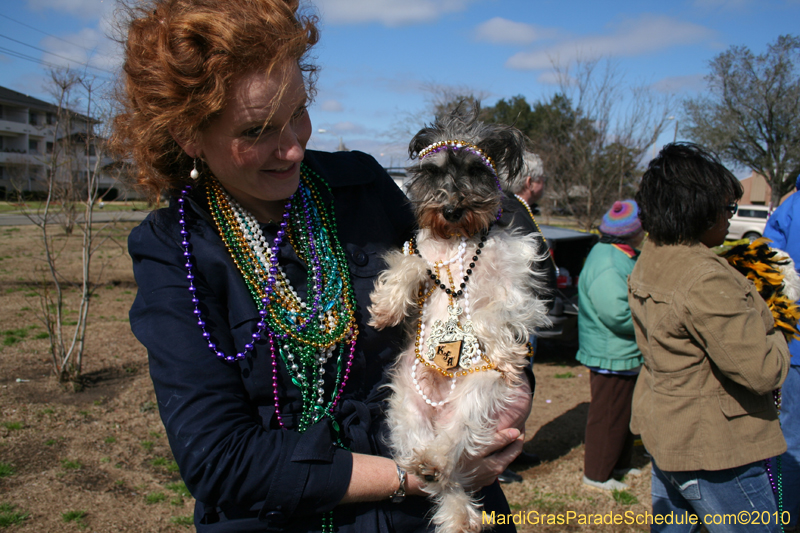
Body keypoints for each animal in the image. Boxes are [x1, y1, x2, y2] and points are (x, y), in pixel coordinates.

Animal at [368, 106, 552, 528]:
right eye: (434, 172)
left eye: (475, 170)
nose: (451, 209)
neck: (460, 239)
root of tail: (439, 404)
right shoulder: (422, 253)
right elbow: (409, 265)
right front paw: (387, 306)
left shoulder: (519, 289)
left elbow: (490, 314)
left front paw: (507, 353)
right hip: (405, 408)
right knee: (438, 471)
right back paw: (445, 494)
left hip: (479, 393)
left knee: (455, 441)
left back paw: (442, 473)